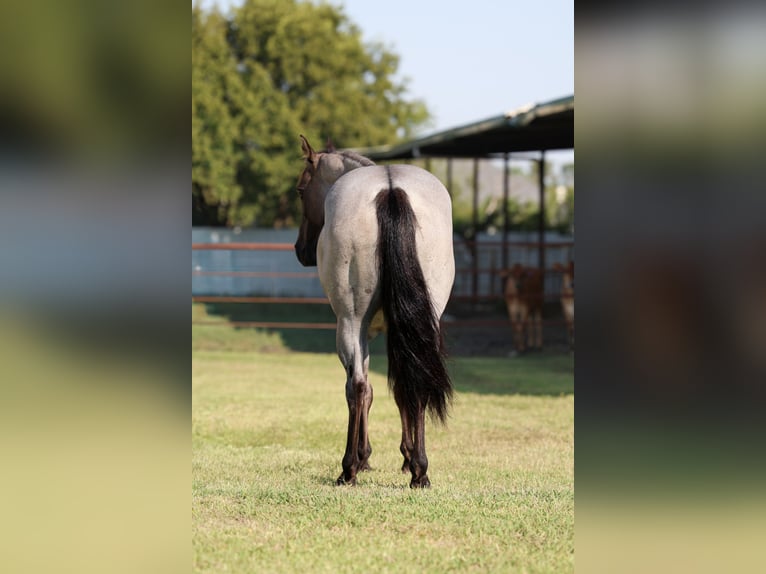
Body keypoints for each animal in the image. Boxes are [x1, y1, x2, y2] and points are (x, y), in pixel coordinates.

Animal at [293, 135, 455, 488]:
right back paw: (420, 471)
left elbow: (365, 389)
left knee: (356, 387)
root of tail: (390, 188)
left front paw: (364, 457)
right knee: (416, 383)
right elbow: (401, 389)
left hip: (350, 324)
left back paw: (348, 468)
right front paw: (408, 458)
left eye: (300, 190)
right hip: (424, 324)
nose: (300, 249)